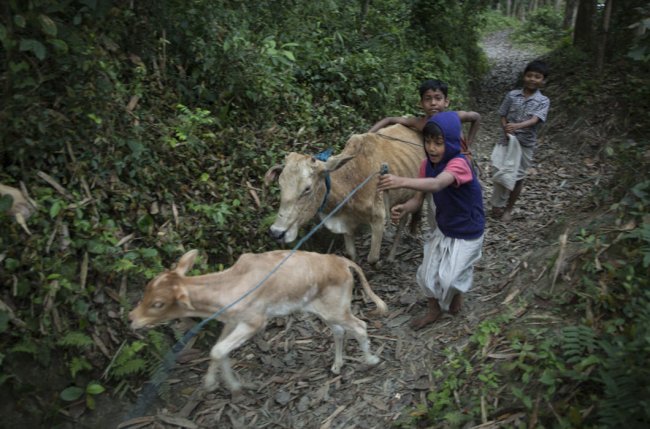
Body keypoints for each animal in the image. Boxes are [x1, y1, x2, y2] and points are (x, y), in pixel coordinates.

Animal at [129, 249, 388, 392]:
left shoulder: (254, 321)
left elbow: (218, 350)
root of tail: (343, 262)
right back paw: (337, 365)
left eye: (158, 303)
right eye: (147, 287)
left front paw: (232, 386)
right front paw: (214, 383)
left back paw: (370, 360)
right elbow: (218, 349)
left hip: (337, 307)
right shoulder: (231, 321)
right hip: (326, 308)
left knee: (360, 326)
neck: (227, 287)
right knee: (339, 330)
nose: (132, 318)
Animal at [264, 123, 422, 264]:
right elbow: (351, 255)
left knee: (403, 221)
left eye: (307, 189)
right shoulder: (346, 224)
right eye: (280, 184)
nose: (276, 233)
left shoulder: (378, 219)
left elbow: (372, 258)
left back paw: (391, 255)